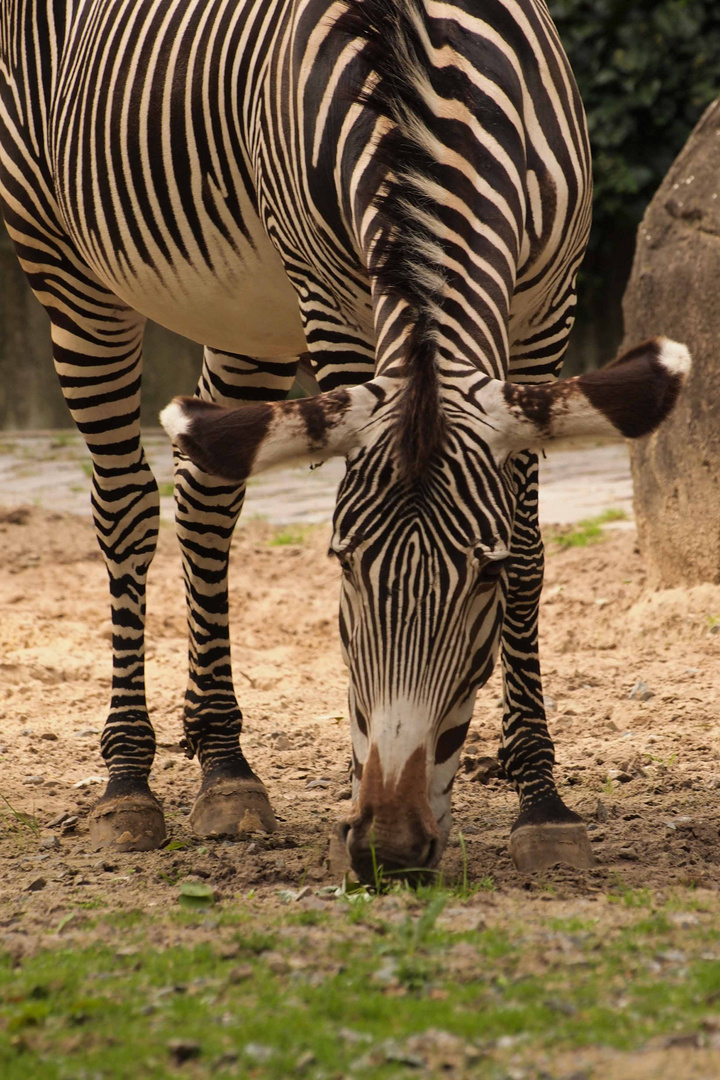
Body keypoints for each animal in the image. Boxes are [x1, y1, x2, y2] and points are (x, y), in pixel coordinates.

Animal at [0, 0, 686, 876]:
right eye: (343, 567)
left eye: (486, 577)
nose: (390, 845)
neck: (425, 86)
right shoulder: (330, 295)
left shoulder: (547, 306)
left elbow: (533, 548)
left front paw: (542, 804)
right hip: (65, 265)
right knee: (125, 507)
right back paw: (128, 783)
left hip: (245, 312)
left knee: (207, 500)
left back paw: (226, 768)